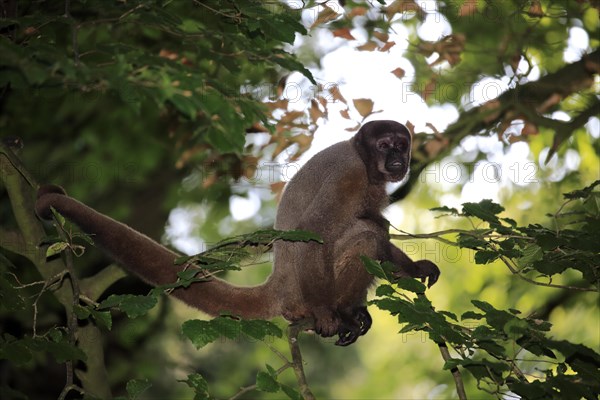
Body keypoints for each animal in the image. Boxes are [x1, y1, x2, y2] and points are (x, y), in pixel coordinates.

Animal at [36, 119, 440, 346]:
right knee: (367, 234)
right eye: (384, 146)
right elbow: (314, 232)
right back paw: (340, 311)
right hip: (303, 291)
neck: (366, 164)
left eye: (401, 145)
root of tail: (279, 284)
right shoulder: (350, 175)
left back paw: (354, 310)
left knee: (373, 227)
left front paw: (414, 269)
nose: (397, 160)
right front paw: (328, 314)